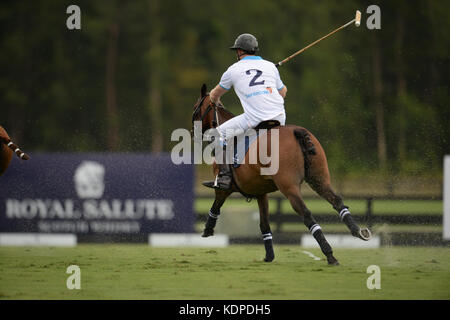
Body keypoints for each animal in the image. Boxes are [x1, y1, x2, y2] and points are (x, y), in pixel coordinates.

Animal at [192, 84, 370, 264]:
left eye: (195, 108)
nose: (193, 133)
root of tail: (297, 131)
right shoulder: (261, 192)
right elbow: (264, 224)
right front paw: (269, 256)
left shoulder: (224, 188)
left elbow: (216, 205)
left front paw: (207, 229)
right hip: (319, 179)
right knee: (337, 201)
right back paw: (358, 232)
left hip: (288, 186)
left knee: (306, 213)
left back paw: (330, 254)